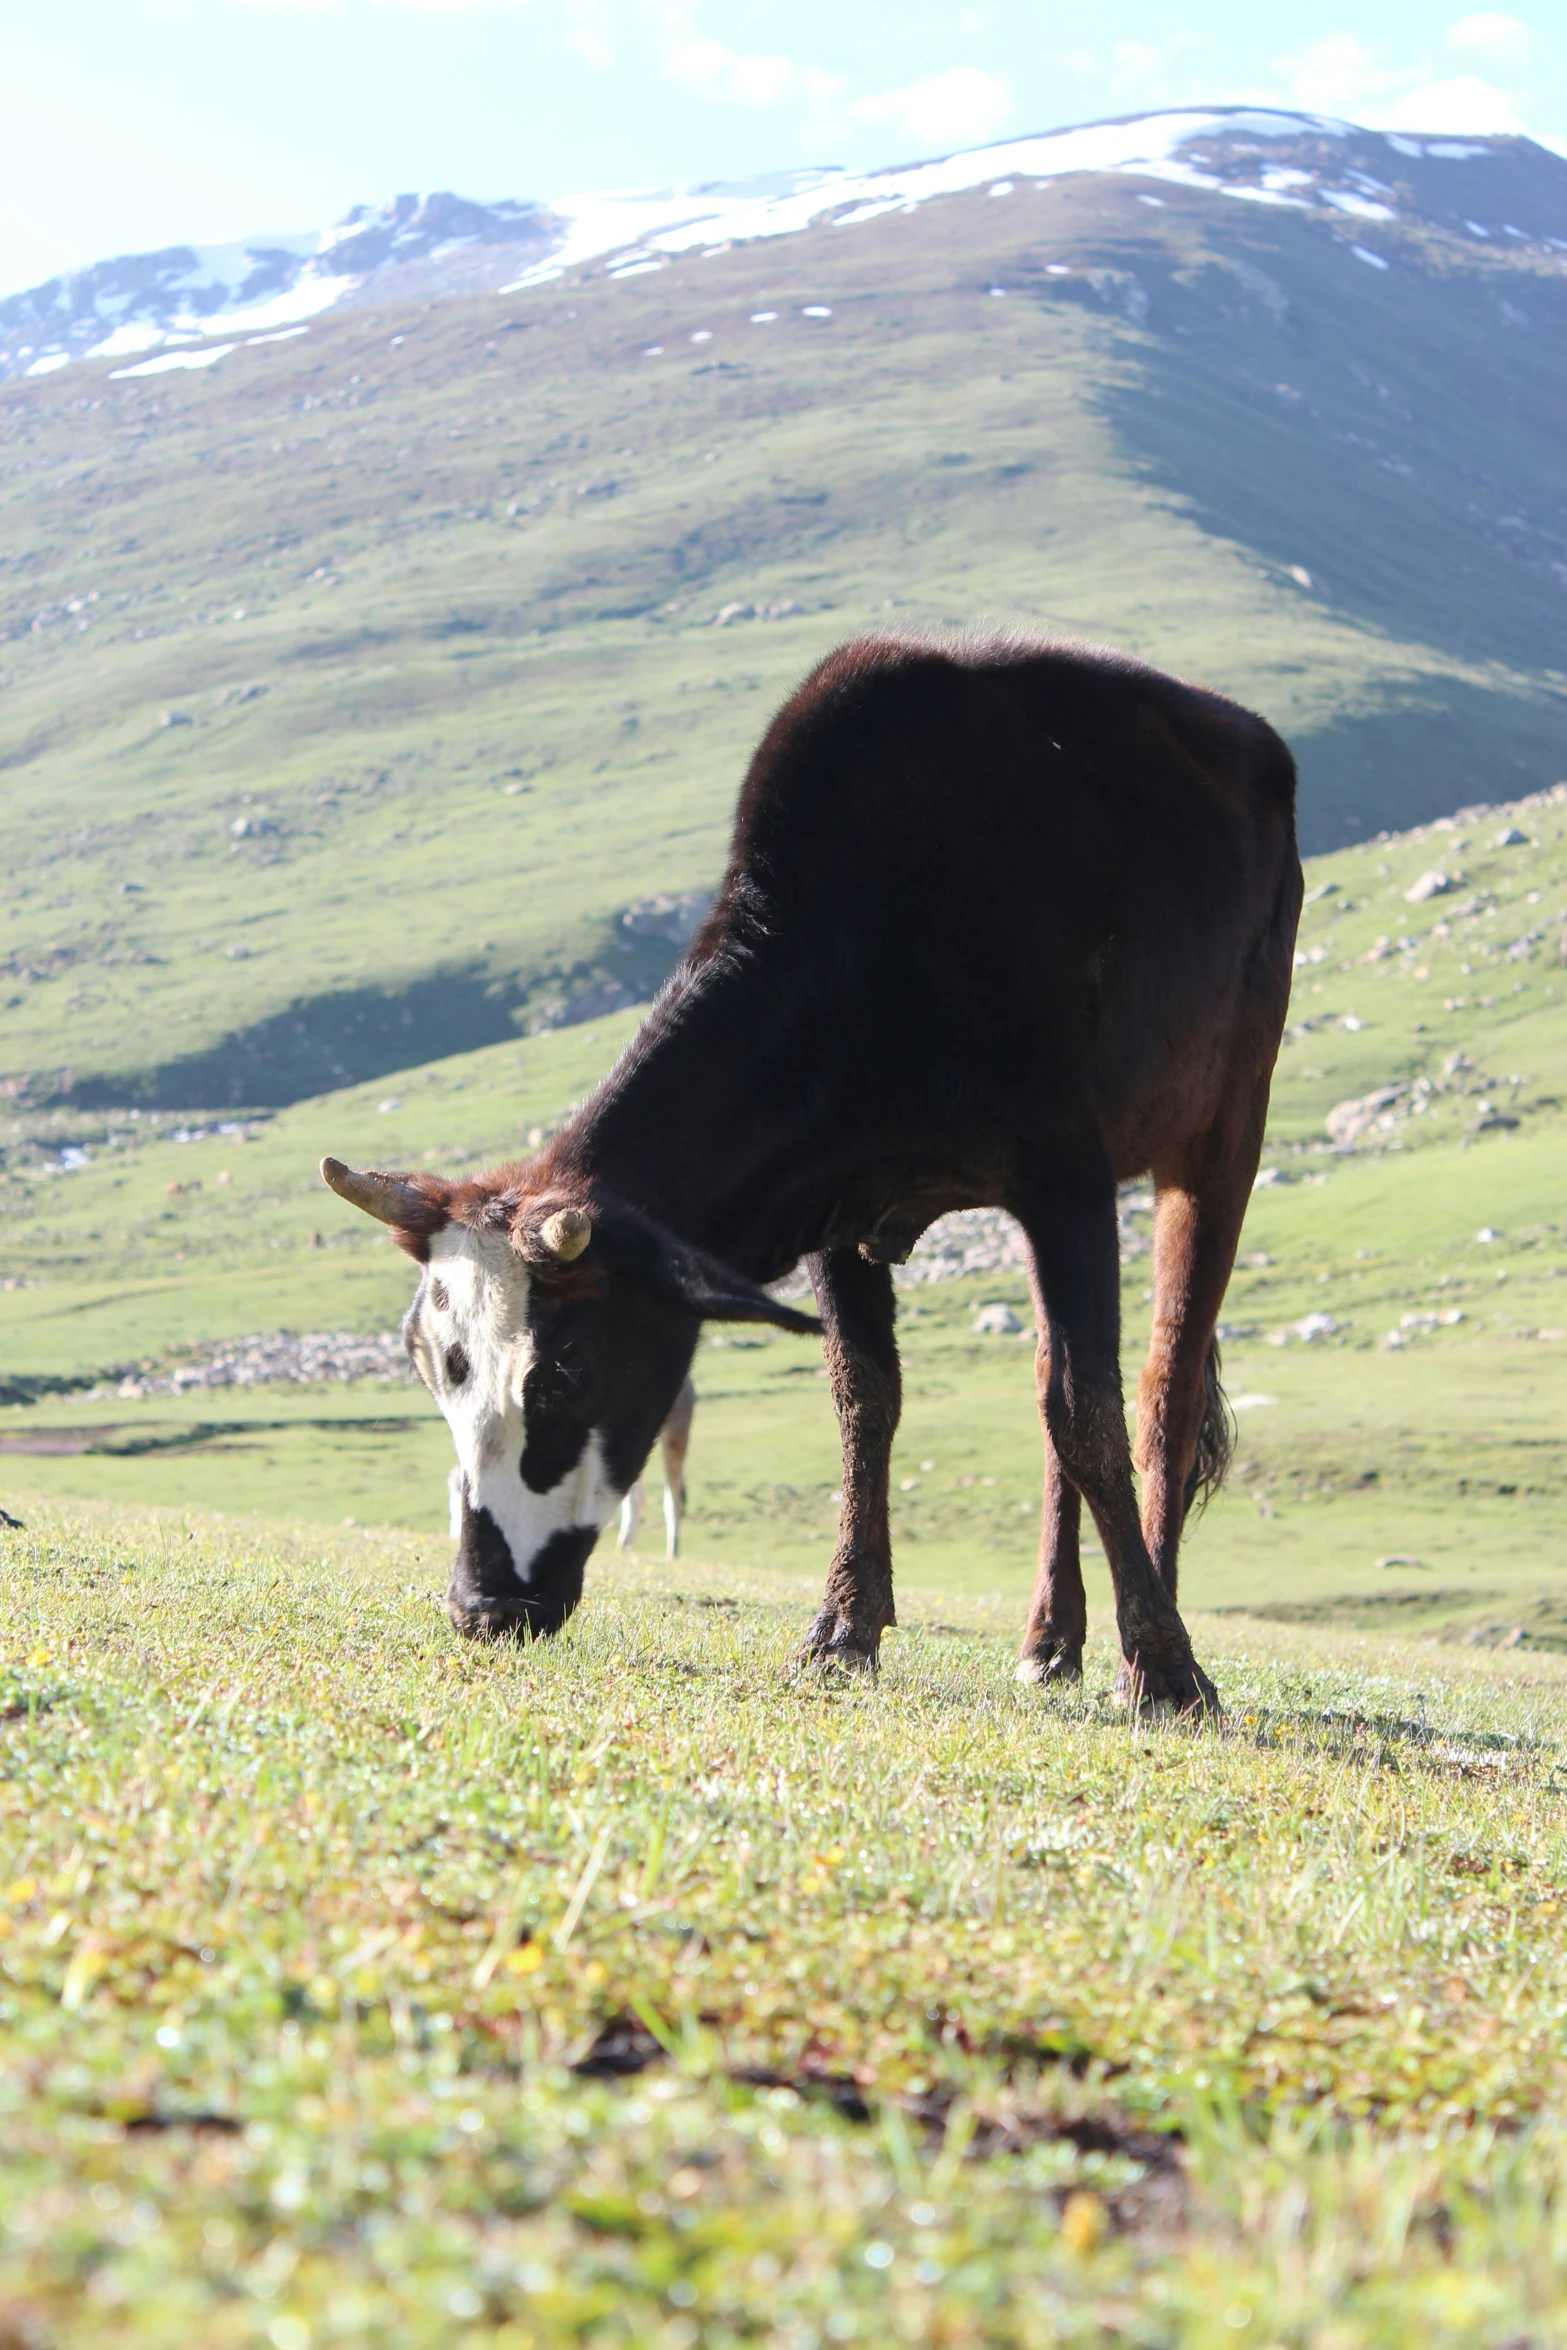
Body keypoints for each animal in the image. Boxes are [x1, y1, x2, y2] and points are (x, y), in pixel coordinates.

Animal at [324, 634, 1306, 1720]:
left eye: (564, 1370)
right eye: (429, 1359)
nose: (481, 1604)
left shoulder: (1067, 1180)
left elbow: (1089, 1411)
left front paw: (1166, 1667)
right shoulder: (842, 1210)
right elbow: (867, 1398)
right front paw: (844, 1626)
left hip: (1224, 1124)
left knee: (1161, 1386)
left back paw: (1151, 1626)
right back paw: (1050, 1637)